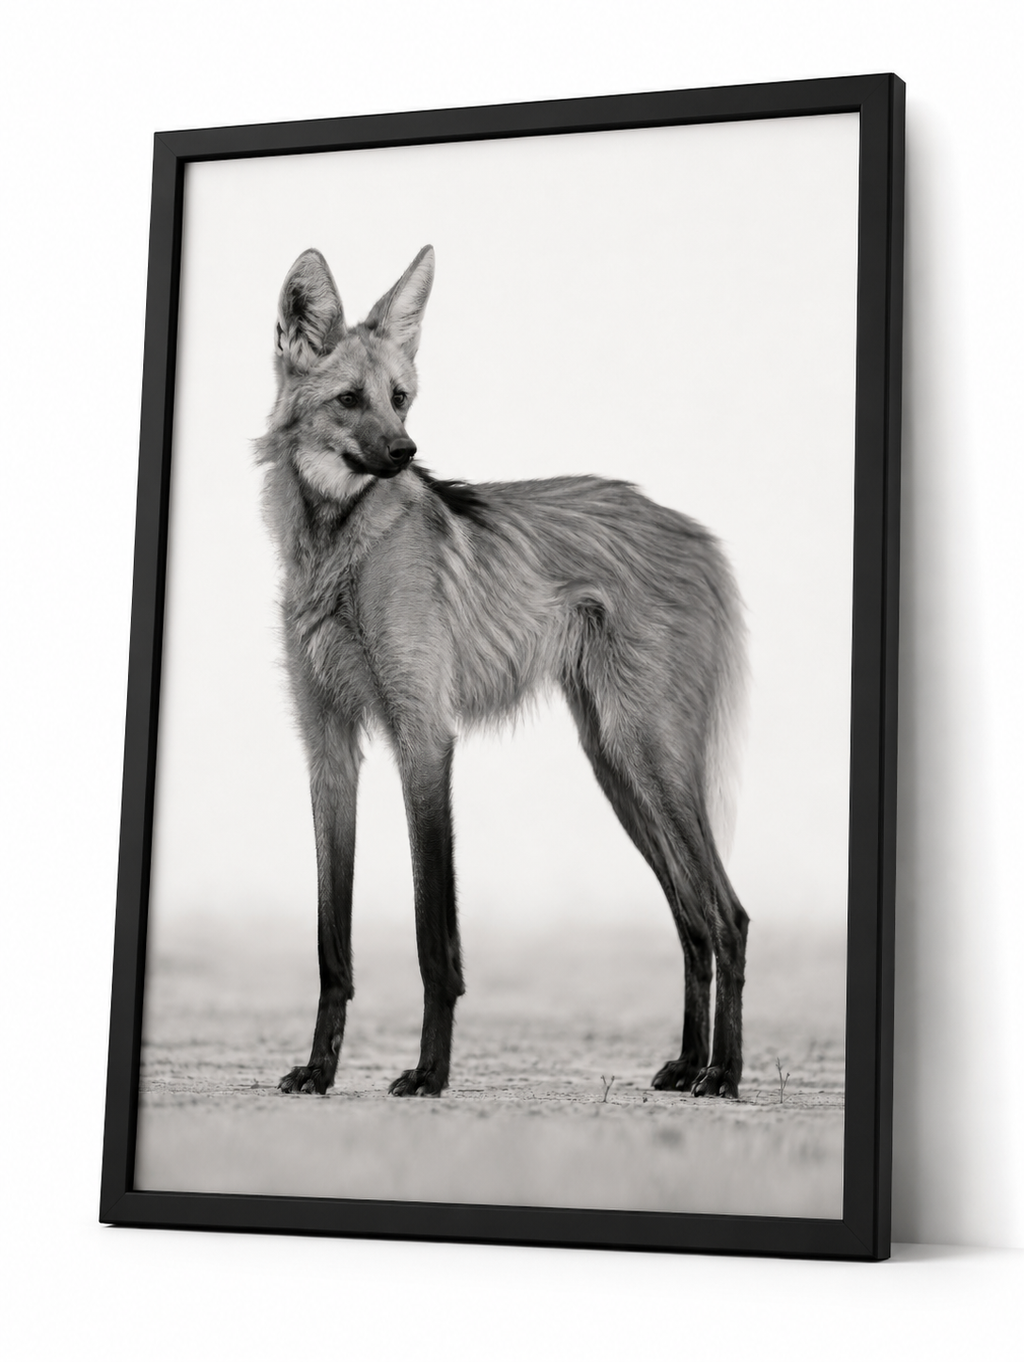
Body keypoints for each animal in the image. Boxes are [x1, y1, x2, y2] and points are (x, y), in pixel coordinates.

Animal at [257, 245, 750, 1099]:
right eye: (350, 399)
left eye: (401, 399)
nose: (406, 454)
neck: (337, 549)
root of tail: (698, 533)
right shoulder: (330, 752)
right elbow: (330, 944)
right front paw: (319, 1070)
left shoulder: (424, 738)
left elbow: (434, 935)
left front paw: (430, 1073)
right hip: (616, 763)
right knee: (691, 919)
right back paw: (691, 1063)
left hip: (649, 754)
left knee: (727, 915)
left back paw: (724, 1074)